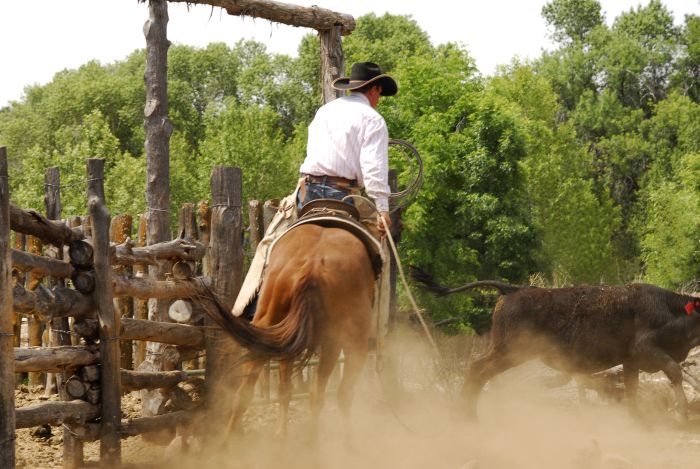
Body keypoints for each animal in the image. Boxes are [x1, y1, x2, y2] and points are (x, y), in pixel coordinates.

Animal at [204, 222, 374, 436]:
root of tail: (313, 264)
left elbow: (286, 388)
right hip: (347, 340)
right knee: (334, 392)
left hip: (270, 324)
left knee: (246, 390)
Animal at [410, 268, 700, 418]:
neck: (670, 309)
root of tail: (514, 289)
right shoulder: (647, 350)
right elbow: (674, 371)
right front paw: (683, 412)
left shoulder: (631, 362)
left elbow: (631, 390)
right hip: (510, 352)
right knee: (478, 370)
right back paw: (468, 415)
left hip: (504, 350)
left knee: (477, 369)